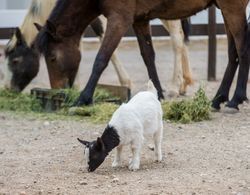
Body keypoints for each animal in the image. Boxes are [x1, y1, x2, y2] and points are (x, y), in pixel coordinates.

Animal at [36, 0, 250, 110]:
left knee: (242, 49)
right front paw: (159, 94)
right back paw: (219, 98)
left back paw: (236, 99)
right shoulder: (139, 19)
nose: (56, 90)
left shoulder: (119, 19)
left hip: (232, 8)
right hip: (225, 9)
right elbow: (148, 56)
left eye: (52, 58)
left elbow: (101, 59)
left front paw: (83, 98)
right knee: (232, 53)